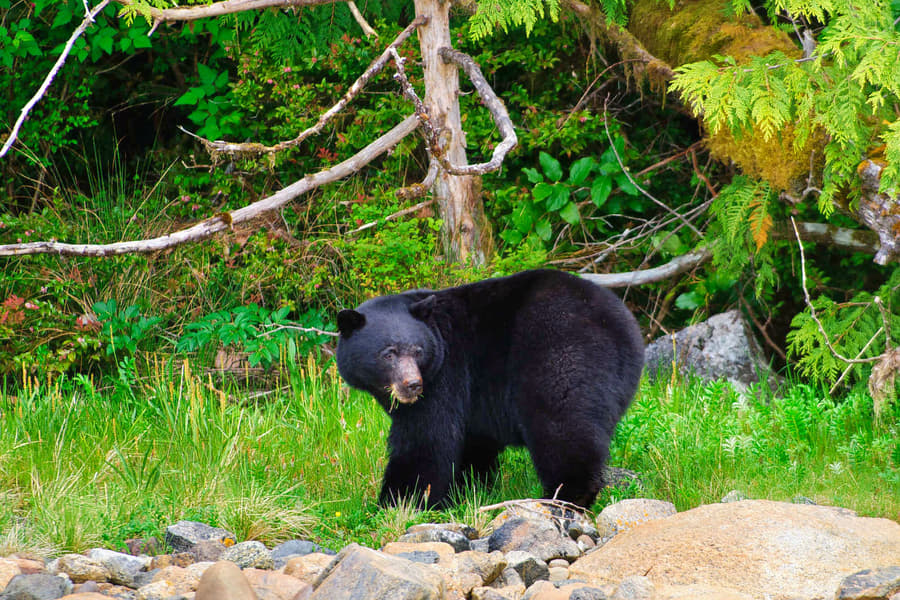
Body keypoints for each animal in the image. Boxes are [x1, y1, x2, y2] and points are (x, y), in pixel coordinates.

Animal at [335, 269, 644, 510]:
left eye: (418, 350)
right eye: (388, 354)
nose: (413, 385)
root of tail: (621, 324)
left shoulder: (446, 376)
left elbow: (426, 438)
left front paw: (398, 502)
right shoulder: (475, 400)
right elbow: (473, 444)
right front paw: (467, 491)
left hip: (560, 352)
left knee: (561, 423)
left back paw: (564, 496)